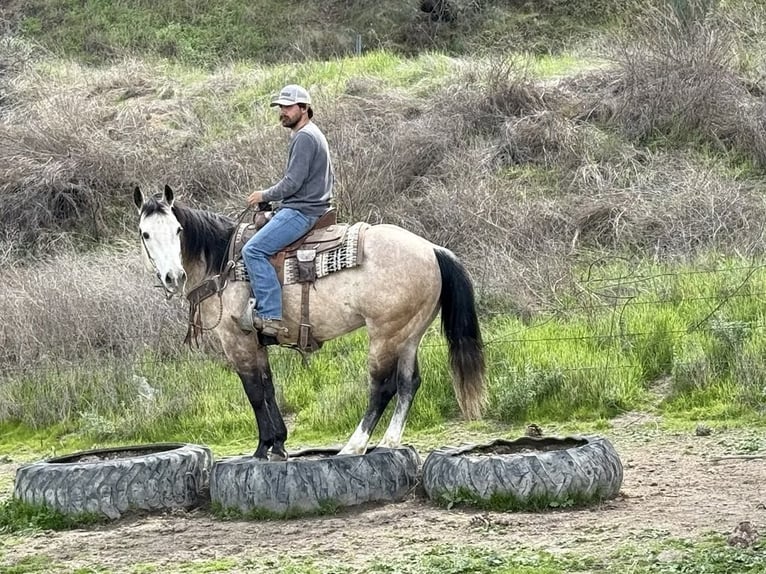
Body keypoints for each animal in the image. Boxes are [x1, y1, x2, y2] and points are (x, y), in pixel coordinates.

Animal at [134, 184, 485, 460]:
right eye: (145, 233)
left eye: (178, 230)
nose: (173, 276)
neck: (223, 263)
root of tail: (432, 249)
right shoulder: (256, 343)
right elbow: (269, 387)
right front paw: (278, 444)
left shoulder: (237, 341)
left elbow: (254, 392)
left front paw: (262, 449)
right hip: (409, 334)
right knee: (408, 383)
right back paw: (389, 441)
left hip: (384, 334)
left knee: (381, 388)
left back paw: (354, 446)